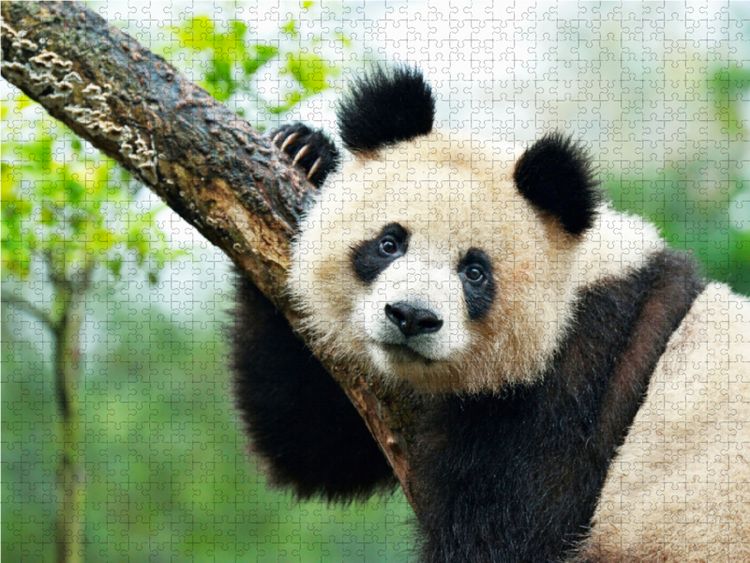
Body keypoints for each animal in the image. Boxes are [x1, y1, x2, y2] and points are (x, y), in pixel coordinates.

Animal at [232, 65, 750, 561]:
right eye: (389, 243)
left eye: (475, 272)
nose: (411, 317)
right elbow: (316, 439)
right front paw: (305, 151)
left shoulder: (581, 380)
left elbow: (510, 532)